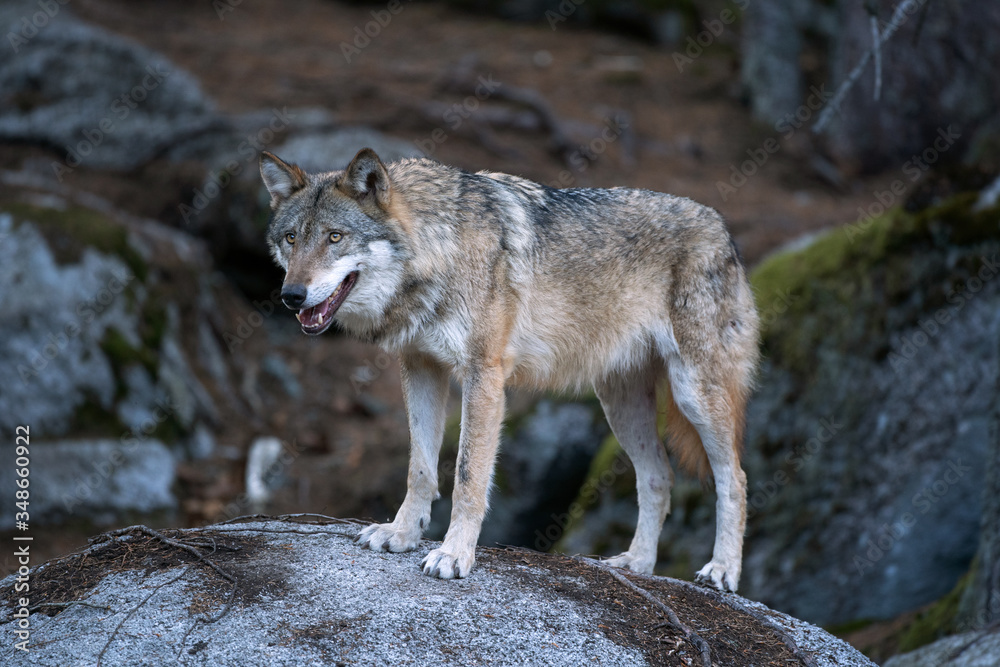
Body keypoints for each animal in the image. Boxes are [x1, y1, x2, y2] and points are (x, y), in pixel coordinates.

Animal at [258, 149, 756, 592]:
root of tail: (721, 227)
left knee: (735, 479)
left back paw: (722, 571)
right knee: (658, 477)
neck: (439, 250)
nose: (291, 296)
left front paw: (453, 554)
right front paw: (401, 533)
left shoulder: (484, 376)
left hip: (693, 394)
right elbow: (419, 468)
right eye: (291, 239)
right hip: (620, 406)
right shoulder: (421, 368)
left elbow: (467, 476)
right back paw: (637, 563)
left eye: (335, 237)